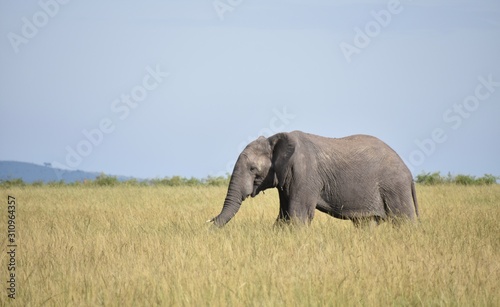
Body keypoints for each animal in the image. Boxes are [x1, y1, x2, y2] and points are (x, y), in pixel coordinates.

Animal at [209, 131, 420, 227]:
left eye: (253, 169)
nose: (208, 223)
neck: (274, 139)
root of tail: (409, 173)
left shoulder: (305, 174)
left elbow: (298, 216)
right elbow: (284, 216)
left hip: (394, 186)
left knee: (403, 221)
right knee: (367, 223)